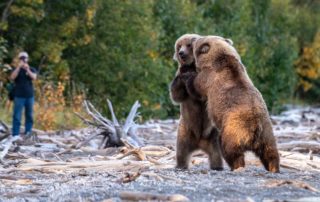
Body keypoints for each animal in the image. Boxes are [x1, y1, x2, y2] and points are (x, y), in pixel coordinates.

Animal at [170, 34, 222, 170]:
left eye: (188, 45)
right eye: (179, 46)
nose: (181, 53)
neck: (192, 67)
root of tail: (199, 143)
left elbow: (202, 95)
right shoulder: (180, 77)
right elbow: (177, 95)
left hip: (212, 134)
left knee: (216, 153)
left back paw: (217, 166)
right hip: (185, 131)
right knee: (181, 151)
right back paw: (180, 165)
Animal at [182, 36, 280, 172]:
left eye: (196, 41)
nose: (193, 38)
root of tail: (255, 128)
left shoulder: (209, 77)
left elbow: (197, 87)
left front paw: (188, 76)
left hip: (234, 128)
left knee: (230, 148)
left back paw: (236, 165)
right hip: (267, 131)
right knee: (270, 151)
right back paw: (273, 167)